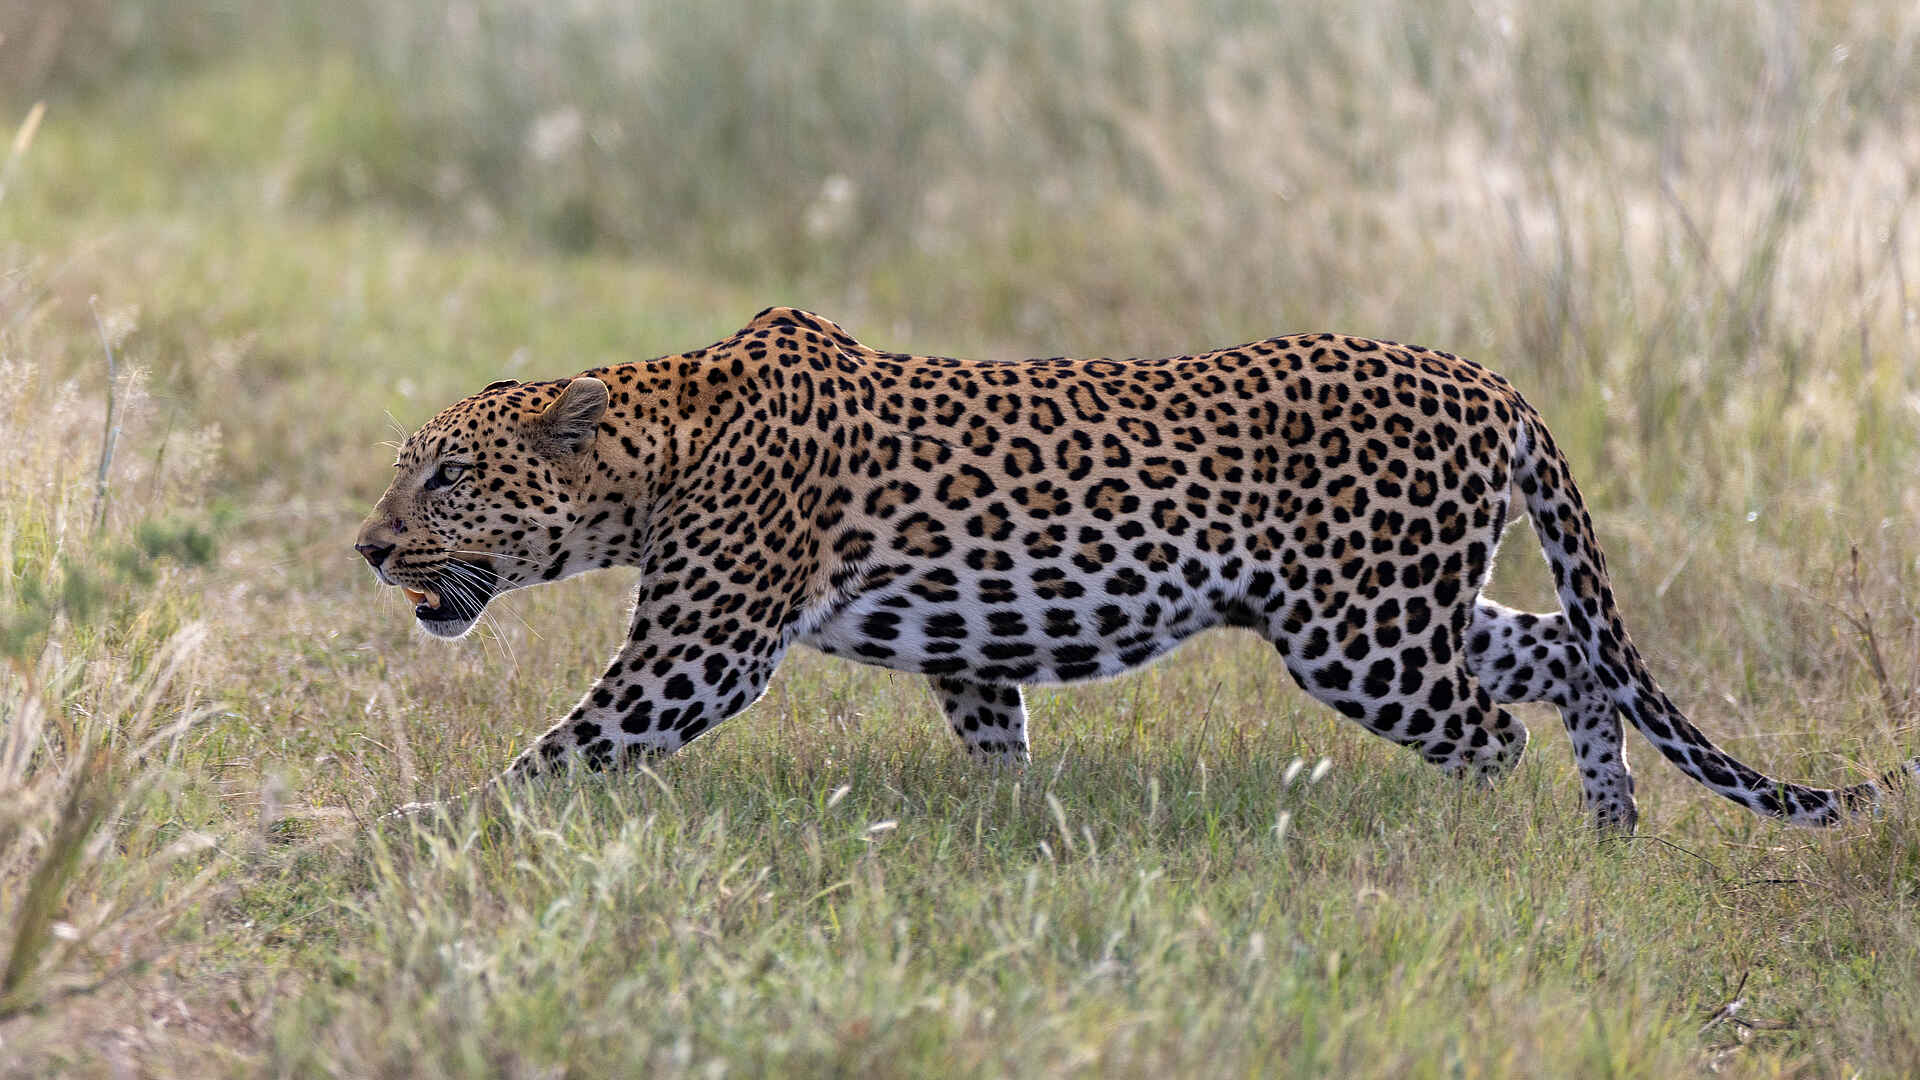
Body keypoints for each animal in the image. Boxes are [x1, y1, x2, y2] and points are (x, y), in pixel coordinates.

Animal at [355, 306, 1918, 830]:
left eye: (444, 477)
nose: (368, 547)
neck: (659, 442)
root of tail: (1490, 377)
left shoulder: (698, 651)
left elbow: (557, 751)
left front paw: (413, 829)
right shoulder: (969, 646)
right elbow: (998, 744)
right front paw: (1016, 838)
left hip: (1364, 635)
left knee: (1492, 731)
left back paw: (1469, 846)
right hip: (1394, 606)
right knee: (1565, 658)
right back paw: (1608, 833)